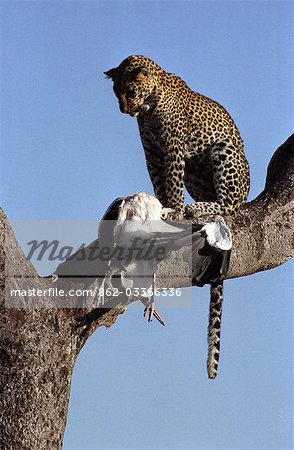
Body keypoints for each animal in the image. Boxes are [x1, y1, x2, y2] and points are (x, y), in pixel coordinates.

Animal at [104, 55, 249, 380]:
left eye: (129, 92)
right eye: (116, 93)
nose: (123, 110)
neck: (150, 107)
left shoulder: (171, 148)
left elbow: (171, 183)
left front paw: (172, 209)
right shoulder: (152, 152)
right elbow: (160, 182)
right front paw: (165, 205)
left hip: (223, 153)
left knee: (230, 206)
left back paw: (198, 208)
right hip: (196, 171)